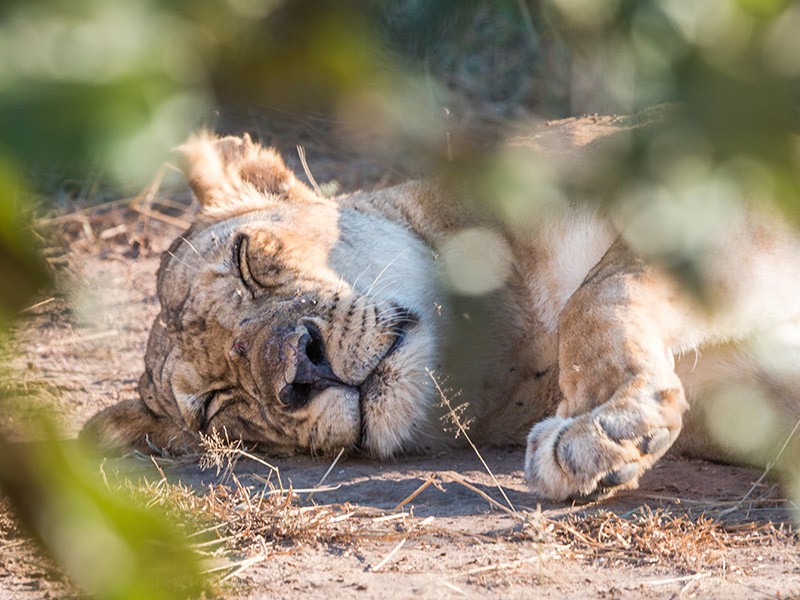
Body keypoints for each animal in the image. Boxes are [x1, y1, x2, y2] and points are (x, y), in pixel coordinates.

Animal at [83, 117, 800, 502]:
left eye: (247, 260)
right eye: (215, 407)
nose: (302, 369)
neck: (521, 344)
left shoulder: (733, 167)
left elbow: (599, 294)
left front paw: (604, 427)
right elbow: (601, 298)